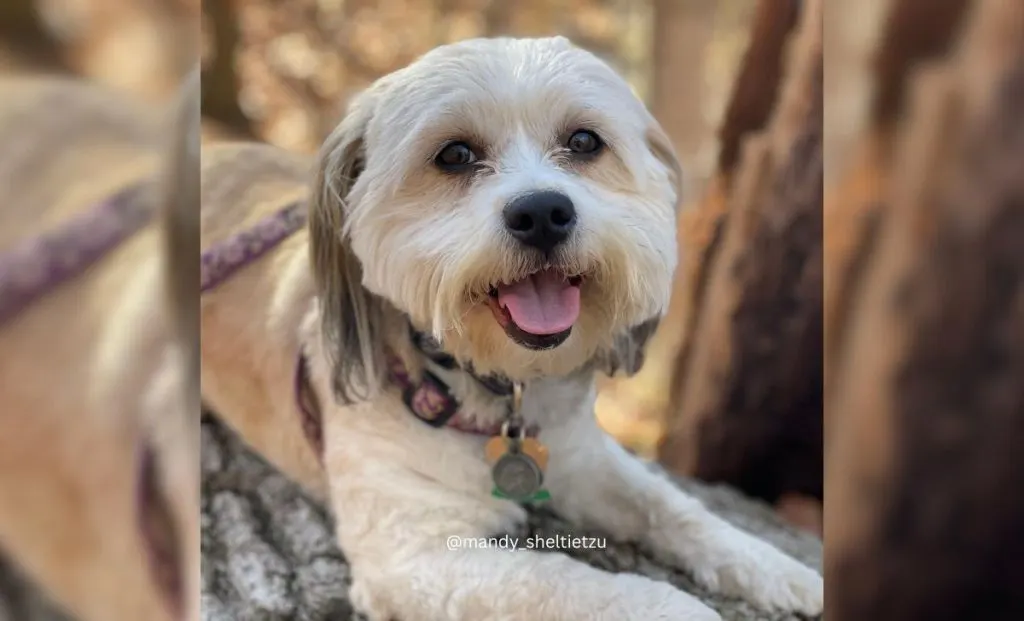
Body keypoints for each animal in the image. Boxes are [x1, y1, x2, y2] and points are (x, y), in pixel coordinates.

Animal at [199, 37, 823, 621]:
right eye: (454, 154)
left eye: (584, 142)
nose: (543, 212)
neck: (490, 387)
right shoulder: (415, 555)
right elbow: (560, 582)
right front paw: (674, 607)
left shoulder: (584, 458)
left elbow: (675, 509)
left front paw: (779, 568)